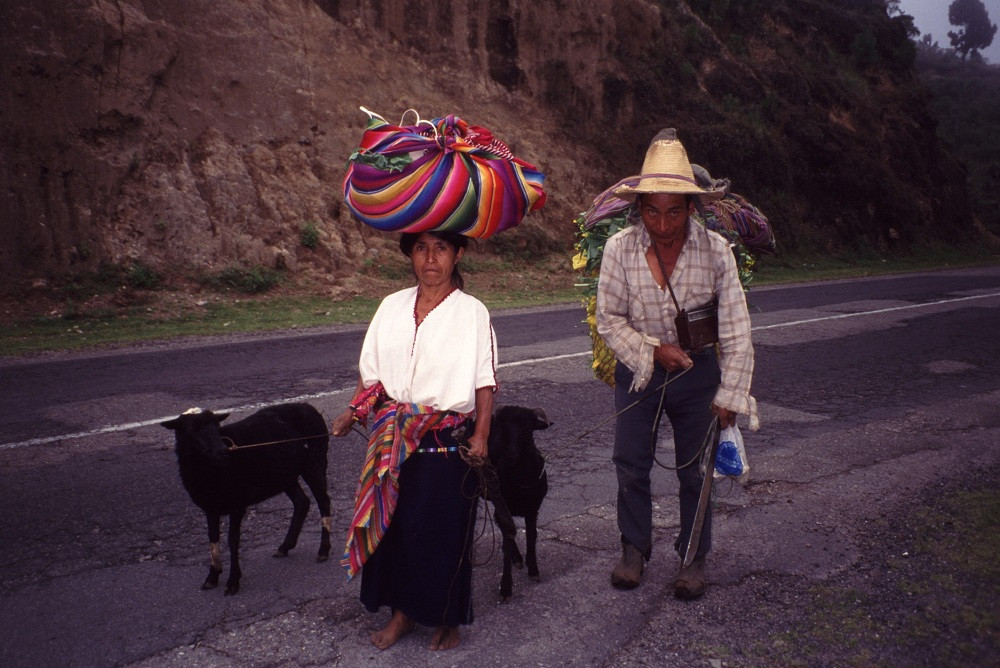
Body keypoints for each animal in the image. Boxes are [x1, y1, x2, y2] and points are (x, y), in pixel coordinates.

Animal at [160, 402, 332, 596]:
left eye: (216, 426)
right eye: (191, 429)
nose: (223, 451)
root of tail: (309, 407)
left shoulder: (237, 504)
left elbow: (233, 540)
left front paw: (233, 581)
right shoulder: (210, 507)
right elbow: (213, 538)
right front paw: (212, 576)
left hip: (314, 462)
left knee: (323, 501)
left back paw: (323, 550)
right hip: (285, 475)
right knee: (302, 502)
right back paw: (285, 546)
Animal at [480, 404, 552, 604]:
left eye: (528, 429)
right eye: (503, 429)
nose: (510, 455)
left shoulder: (533, 509)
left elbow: (532, 537)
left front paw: (533, 569)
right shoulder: (504, 508)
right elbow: (506, 543)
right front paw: (506, 587)